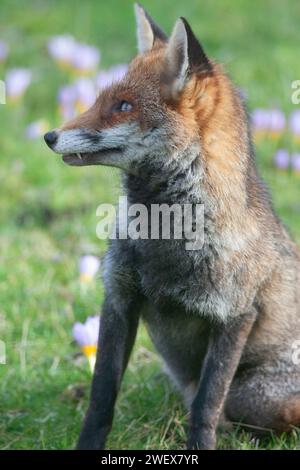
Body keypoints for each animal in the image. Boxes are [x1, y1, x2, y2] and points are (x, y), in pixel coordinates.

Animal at [44, 4, 300, 452]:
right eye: (99, 100)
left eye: (124, 106)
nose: (49, 136)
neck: (163, 237)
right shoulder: (119, 297)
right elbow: (100, 396)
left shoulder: (236, 315)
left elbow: (206, 405)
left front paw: (201, 445)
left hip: (251, 394)